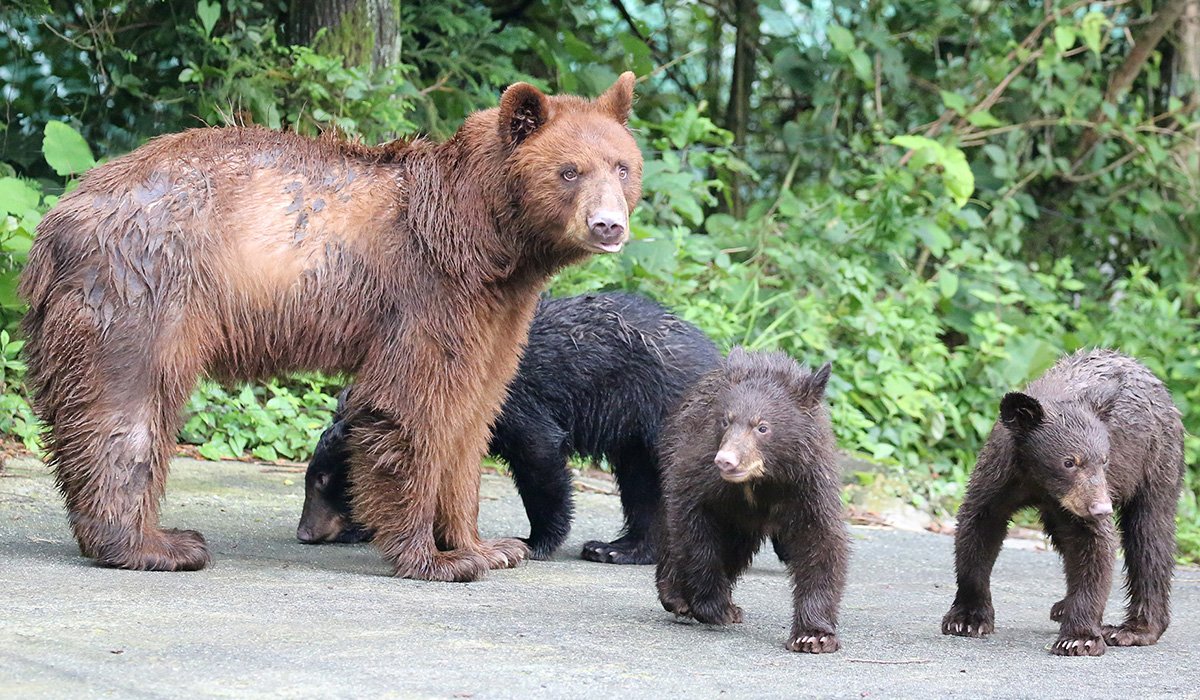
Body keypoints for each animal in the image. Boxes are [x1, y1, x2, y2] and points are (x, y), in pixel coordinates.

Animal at [14, 73, 643, 583]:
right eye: (568, 170)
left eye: (623, 166)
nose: (607, 224)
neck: (483, 239)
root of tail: (58, 220)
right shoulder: (427, 292)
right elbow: (412, 407)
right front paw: (436, 559)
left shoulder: (498, 312)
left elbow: (473, 413)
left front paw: (487, 546)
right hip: (145, 286)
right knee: (128, 408)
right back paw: (157, 544)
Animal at [940, 350, 1185, 657]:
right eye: (1069, 462)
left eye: (1104, 459)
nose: (1101, 508)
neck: (1038, 481)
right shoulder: (998, 476)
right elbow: (978, 528)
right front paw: (966, 619)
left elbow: (1095, 544)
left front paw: (1079, 638)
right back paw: (1064, 607)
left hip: (1158, 463)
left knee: (1150, 538)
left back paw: (1134, 629)